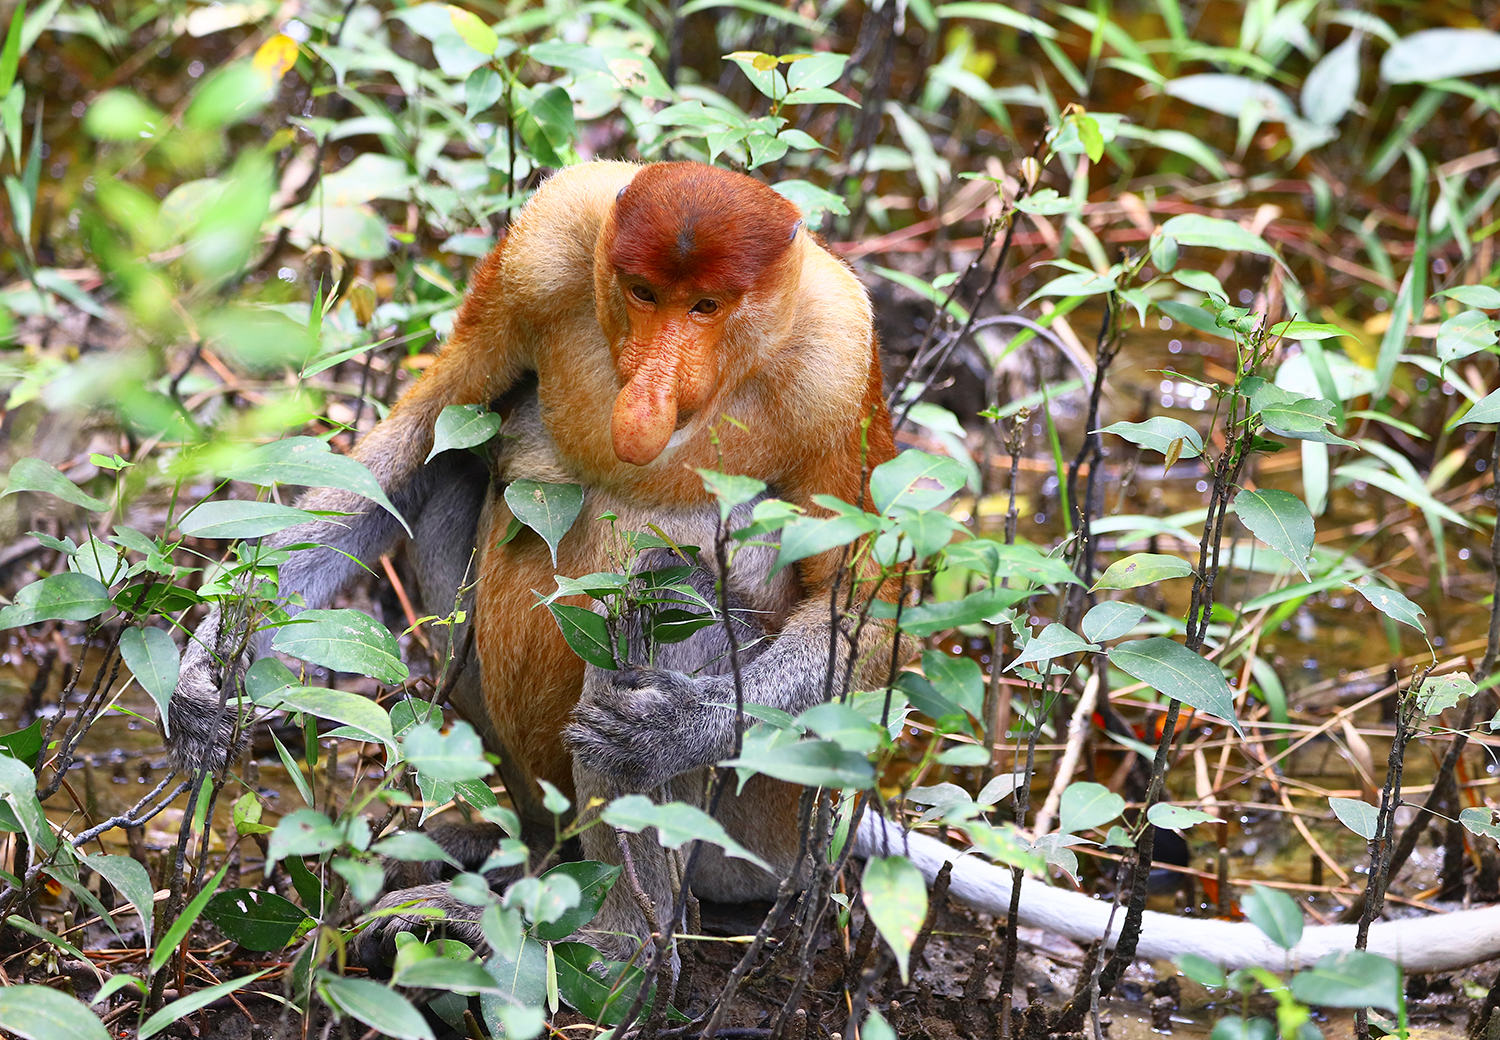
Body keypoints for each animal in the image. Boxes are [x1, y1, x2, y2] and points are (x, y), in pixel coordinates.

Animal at [169, 160, 1500, 976]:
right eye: (640, 292)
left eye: (708, 309)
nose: (650, 393)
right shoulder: (546, 244)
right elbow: (425, 420)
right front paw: (209, 671)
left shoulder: (833, 357)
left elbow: (856, 601)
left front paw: (654, 729)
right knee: (462, 457)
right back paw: (491, 850)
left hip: (764, 829)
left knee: (687, 590)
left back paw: (617, 936)